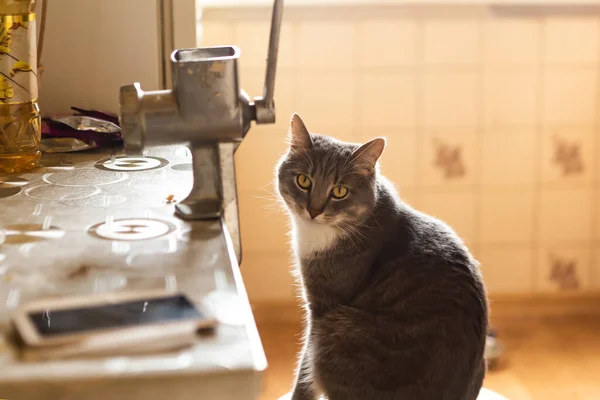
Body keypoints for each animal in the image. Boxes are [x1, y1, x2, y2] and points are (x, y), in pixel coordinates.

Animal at [276, 113, 488, 400]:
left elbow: (305, 368)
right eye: (303, 181)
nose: (313, 210)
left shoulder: (322, 305)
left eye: (339, 191)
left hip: (337, 332)